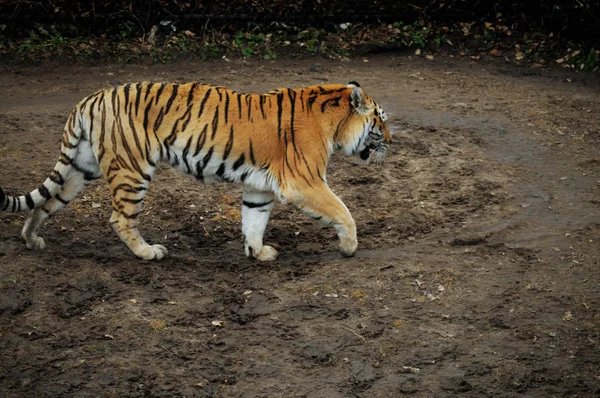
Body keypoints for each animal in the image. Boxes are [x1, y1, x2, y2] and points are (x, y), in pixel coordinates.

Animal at [0, 81, 392, 262]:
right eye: (381, 120)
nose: (392, 140)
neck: (334, 123)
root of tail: (90, 98)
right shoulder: (304, 182)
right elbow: (343, 210)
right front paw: (349, 246)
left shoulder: (260, 189)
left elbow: (254, 222)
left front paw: (257, 252)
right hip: (133, 170)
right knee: (119, 218)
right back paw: (148, 252)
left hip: (82, 168)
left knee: (45, 203)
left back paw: (31, 240)